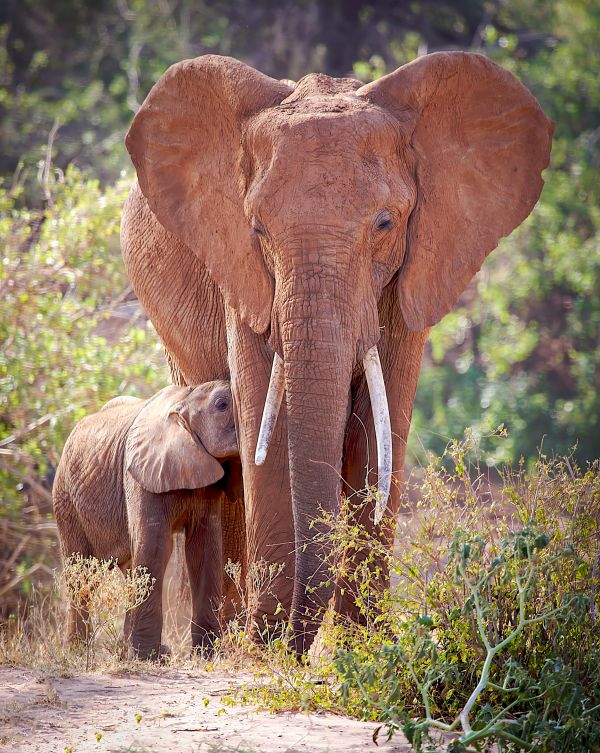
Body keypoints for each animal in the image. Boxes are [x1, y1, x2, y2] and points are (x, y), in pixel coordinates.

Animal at [52, 382, 239, 656]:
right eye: (222, 405)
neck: (184, 399)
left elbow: (204, 550)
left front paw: (207, 655)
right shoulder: (139, 476)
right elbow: (155, 548)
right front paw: (148, 658)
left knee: (128, 569)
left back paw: (124, 652)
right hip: (65, 500)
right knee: (82, 573)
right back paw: (77, 652)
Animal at [122, 53, 552, 656]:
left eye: (386, 223)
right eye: (258, 228)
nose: (288, 644)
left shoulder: (413, 274)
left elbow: (381, 426)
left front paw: (364, 649)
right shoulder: (243, 272)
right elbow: (266, 425)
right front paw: (268, 648)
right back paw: (229, 641)